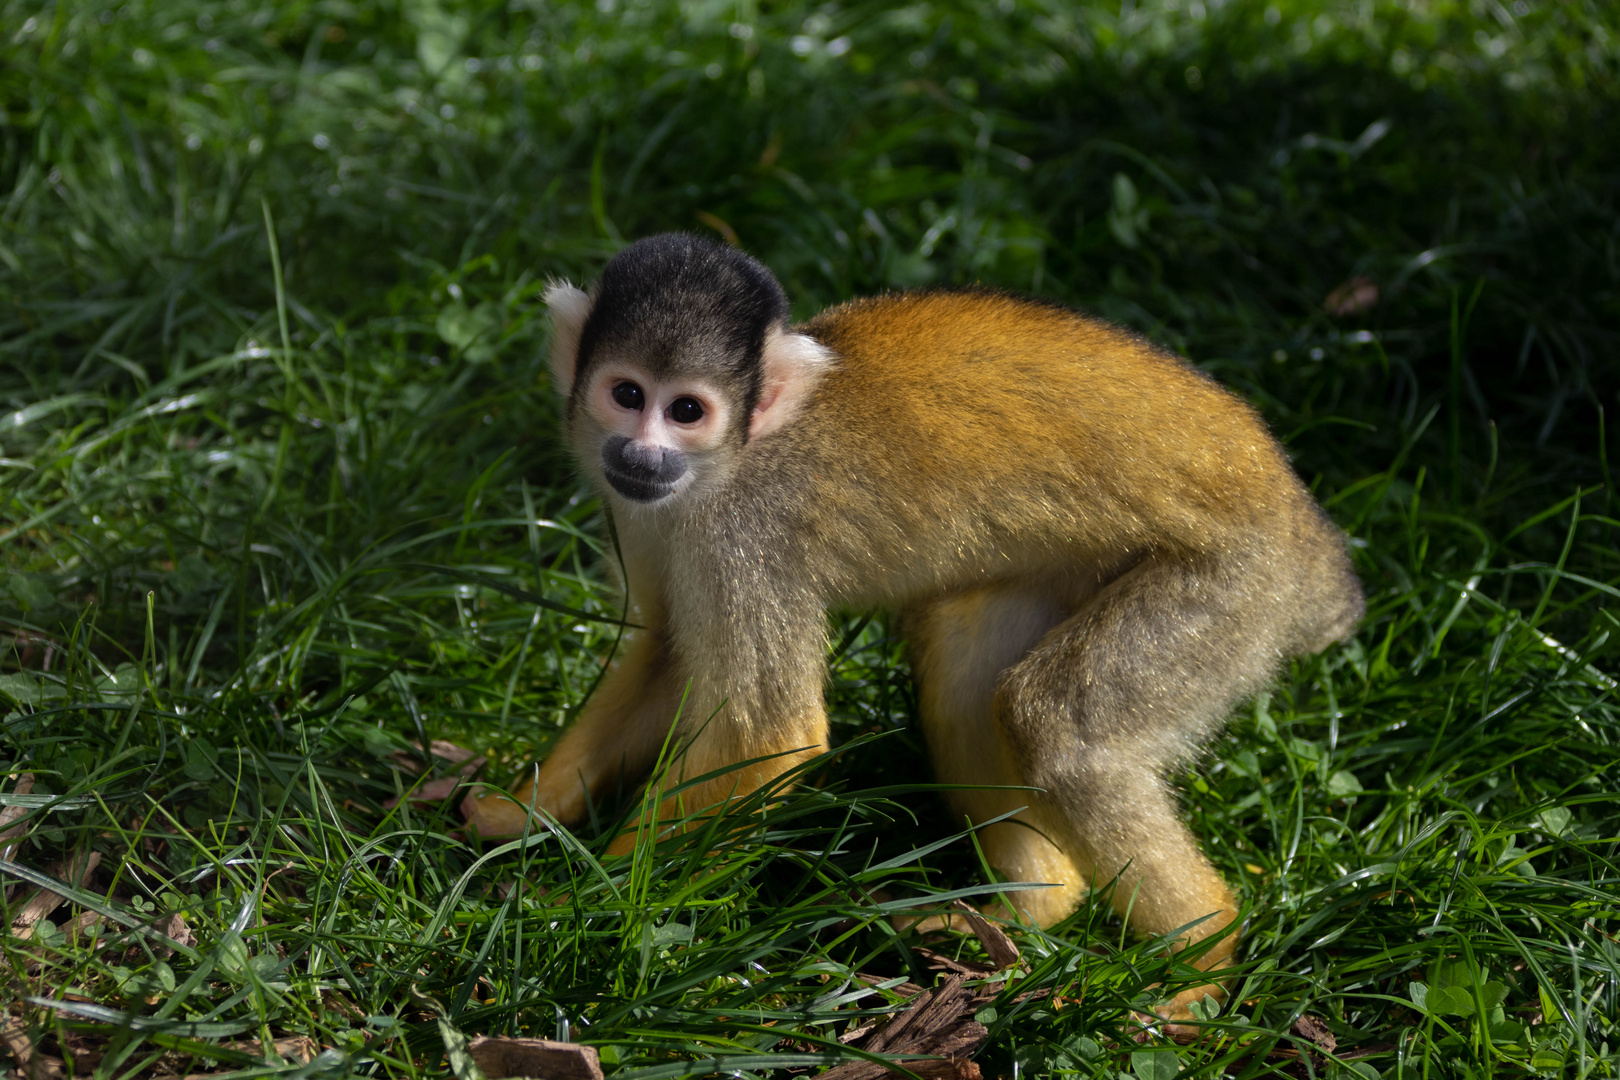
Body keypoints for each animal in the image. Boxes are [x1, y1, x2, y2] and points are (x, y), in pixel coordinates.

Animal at [463, 233, 1360, 1016]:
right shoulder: (646, 510)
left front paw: (588, 906)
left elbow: (768, 731)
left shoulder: (746, 532)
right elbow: (667, 656)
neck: (734, 458)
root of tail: (1309, 535)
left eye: (687, 410)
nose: (645, 455)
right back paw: (1029, 910)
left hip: (1231, 589)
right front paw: (523, 815)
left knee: (1061, 727)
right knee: (968, 680)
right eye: (627, 394)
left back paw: (1202, 958)